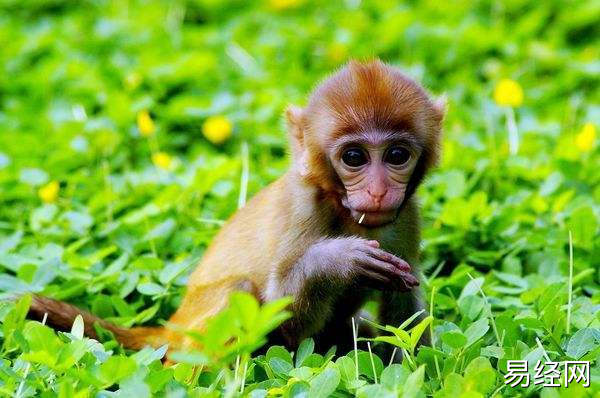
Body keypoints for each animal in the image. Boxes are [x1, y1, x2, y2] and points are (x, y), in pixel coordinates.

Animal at [31, 59, 446, 358]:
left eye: (396, 155)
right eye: (355, 157)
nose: (378, 191)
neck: (342, 206)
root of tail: (173, 326)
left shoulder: (408, 215)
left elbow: (402, 314)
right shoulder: (302, 206)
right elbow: (286, 322)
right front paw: (336, 260)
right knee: (239, 292)